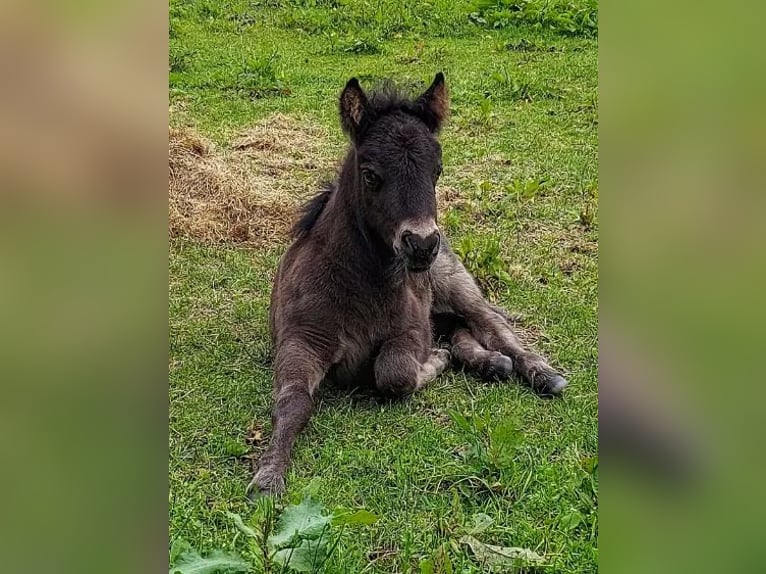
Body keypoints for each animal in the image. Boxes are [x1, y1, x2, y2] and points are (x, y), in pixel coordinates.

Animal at [252, 73, 568, 496]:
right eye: (370, 174)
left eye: (438, 170)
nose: (421, 244)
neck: (360, 290)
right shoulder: (300, 340)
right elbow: (293, 402)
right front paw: (269, 475)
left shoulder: (411, 331)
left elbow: (394, 373)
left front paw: (433, 363)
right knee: (462, 333)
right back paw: (488, 364)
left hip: (457, 286)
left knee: (495, 328)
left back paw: (541, 373)